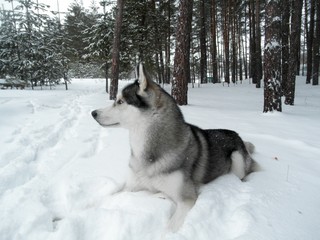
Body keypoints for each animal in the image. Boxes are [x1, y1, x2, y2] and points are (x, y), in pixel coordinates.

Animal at [91, 62, 256, 232]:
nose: (93, 113)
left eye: (120, 102)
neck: (145, 154)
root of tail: (238, 135)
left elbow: (169, 229)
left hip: (237, 161)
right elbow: (109, 196)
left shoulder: (186, 200)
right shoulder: (130, 185)